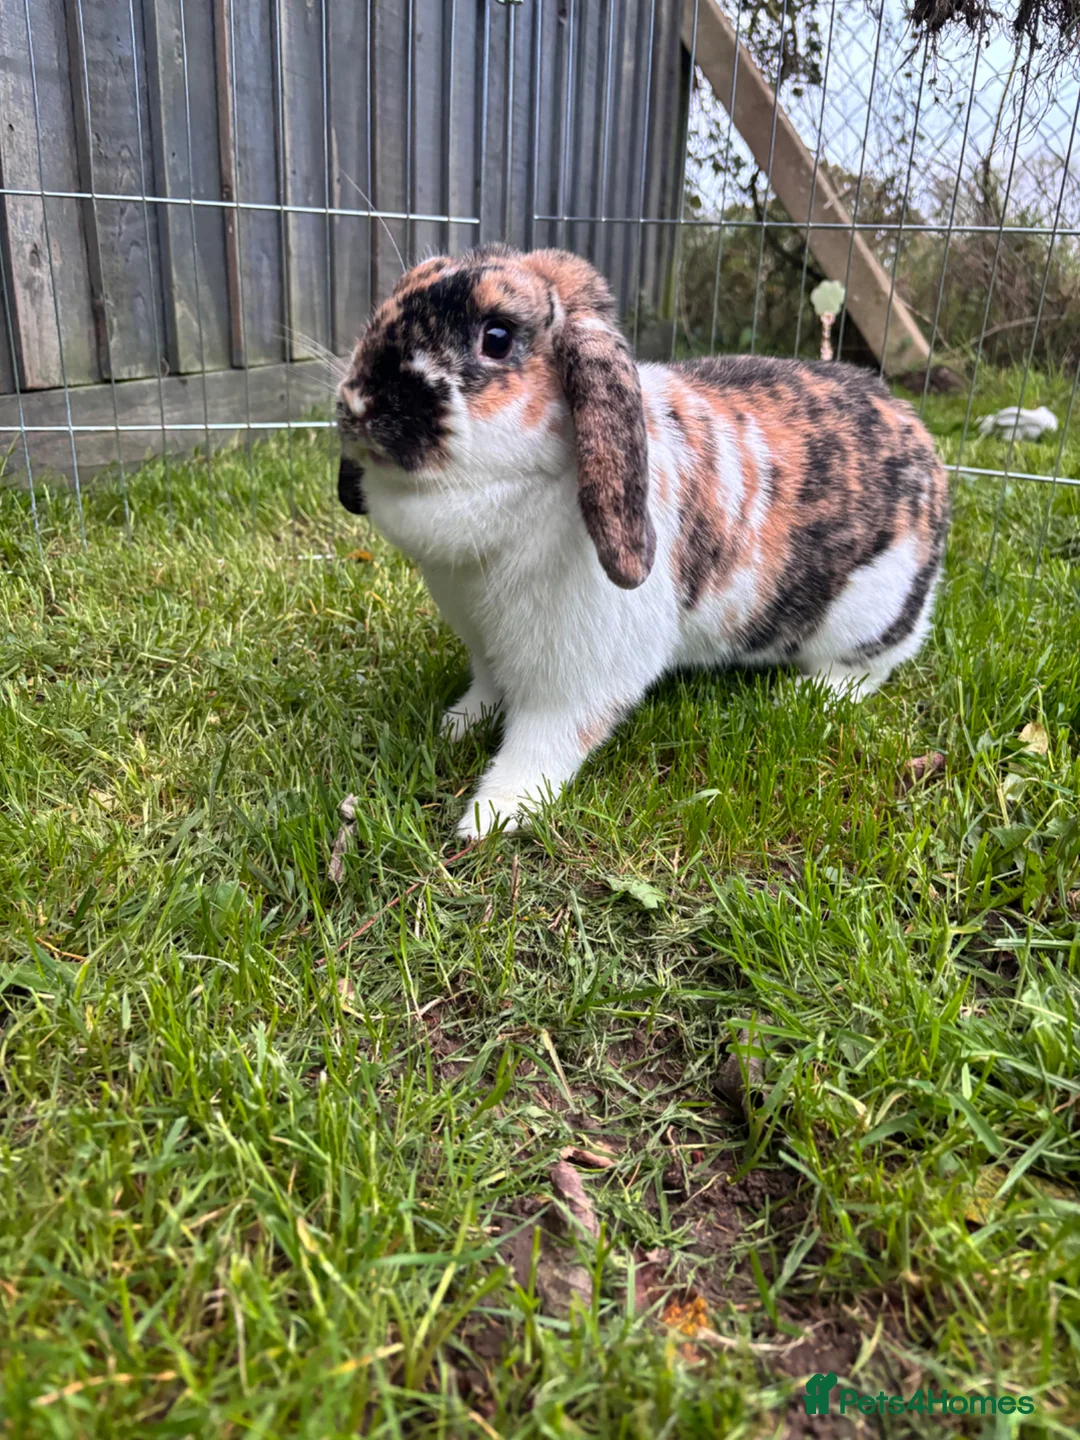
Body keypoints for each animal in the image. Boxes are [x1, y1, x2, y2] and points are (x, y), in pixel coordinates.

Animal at [336, 244, 950, 839]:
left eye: (498, 337)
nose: (360, 402)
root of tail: (926, 449)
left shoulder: (574, 682)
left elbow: (541, 746)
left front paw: (492, 817)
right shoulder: (484, 646)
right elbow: (487, 691)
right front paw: (455, 726)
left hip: (869, 613)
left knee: (873, 665)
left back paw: (807, 695)